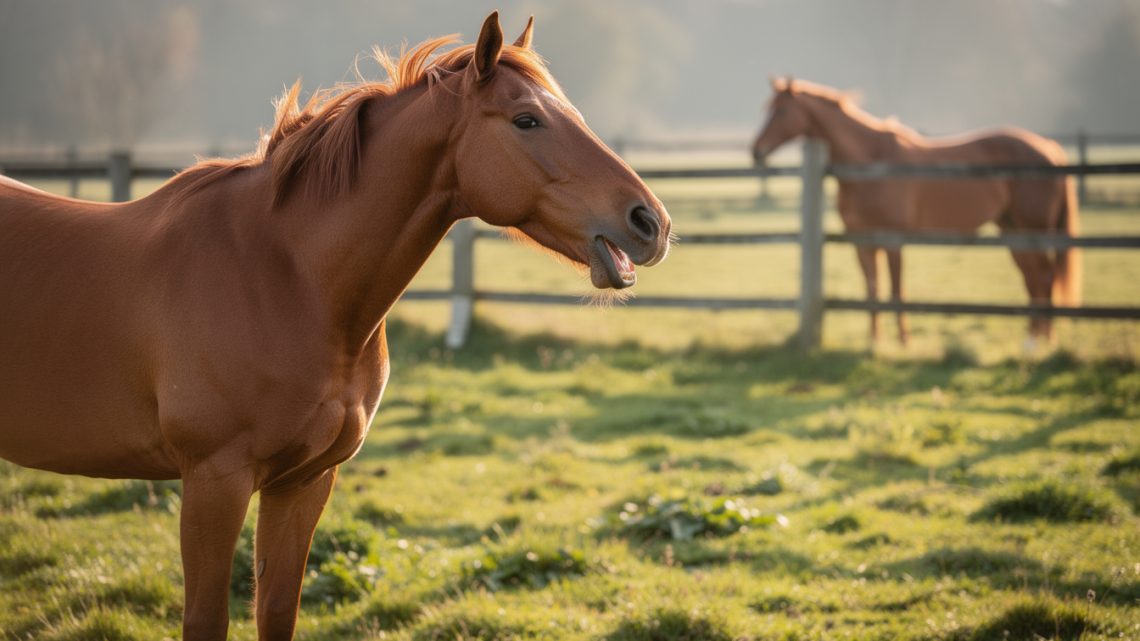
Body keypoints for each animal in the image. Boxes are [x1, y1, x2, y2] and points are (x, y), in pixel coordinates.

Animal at [0, 13, 671, 640]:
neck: (282, 277)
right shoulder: (214, 481)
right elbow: (206, 618)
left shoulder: (304, 483)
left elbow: (276, 611)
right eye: (526, 120)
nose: (651, 222)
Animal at [751, 77, 1080, 346]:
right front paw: (874, 342)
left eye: (781, 111)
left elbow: (897, 291)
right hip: (1013, 229)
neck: (869, 163)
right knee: (1032, 278)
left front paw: (903, 342)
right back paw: (1032, 337)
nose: (756, 150)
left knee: (1045, 276)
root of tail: (1049, 147)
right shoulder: (863, 241)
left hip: (1034, 229)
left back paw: (1042, 341)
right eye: (768, 108)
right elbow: (872, 291)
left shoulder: (893, 240)